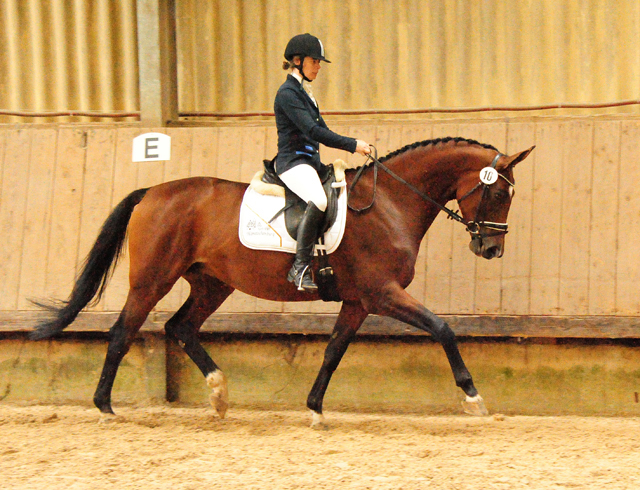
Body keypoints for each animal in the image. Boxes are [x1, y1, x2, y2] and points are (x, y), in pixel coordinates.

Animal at [33, 137, 536, 424]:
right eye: (497, 191)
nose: (491, 250)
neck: (391, 202)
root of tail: (152, 192)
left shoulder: (359, 302)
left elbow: (334, 351)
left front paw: (314, 408)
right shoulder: (383, 294)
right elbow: (442, 329)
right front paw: (473, 397)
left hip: (212, 283)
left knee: (180, 327)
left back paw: (219, 396)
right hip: (152, 280)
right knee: (123, 332)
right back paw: (104, 407)